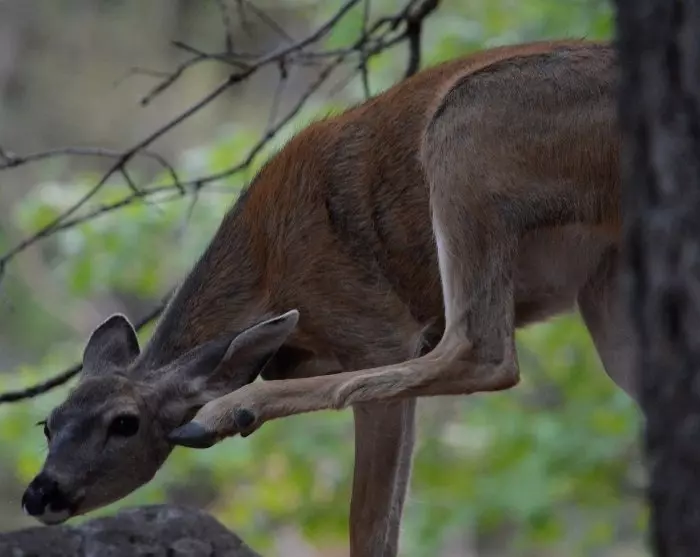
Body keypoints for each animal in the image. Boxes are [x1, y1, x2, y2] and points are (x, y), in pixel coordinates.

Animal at [21, 39, 625, 557]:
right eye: (48, 422)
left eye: (125, 423)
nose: (39, 492)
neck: (267, 271)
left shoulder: (379, 328)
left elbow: (370, 525)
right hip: (602, 284)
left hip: (467, 130)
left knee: (482, 351)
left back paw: (227, 413)